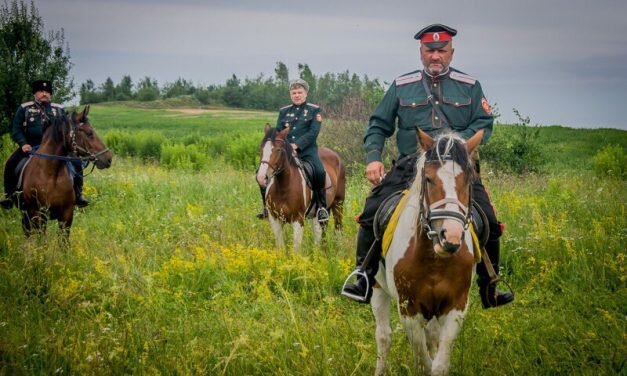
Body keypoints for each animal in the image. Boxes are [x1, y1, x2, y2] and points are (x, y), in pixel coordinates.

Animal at [256, 124, 348, 253]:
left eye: (278, 150)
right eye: (261, 148)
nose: (261, 177)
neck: (284, 187)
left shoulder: (298, 220)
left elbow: (296, 250)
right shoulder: (275, 219)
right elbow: (280, 248)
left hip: (338, 204)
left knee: (338, 227)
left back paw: (338, 250)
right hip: (318, 213)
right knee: (320, 229)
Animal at [372, 130, 486, 376]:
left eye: (468, 180)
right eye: (429, 179)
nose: (450, 237)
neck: (435, 261)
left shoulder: (455, 307)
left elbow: (438, 364)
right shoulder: (409, 310)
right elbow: (423, 360)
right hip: (377, 289)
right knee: (384, 337)